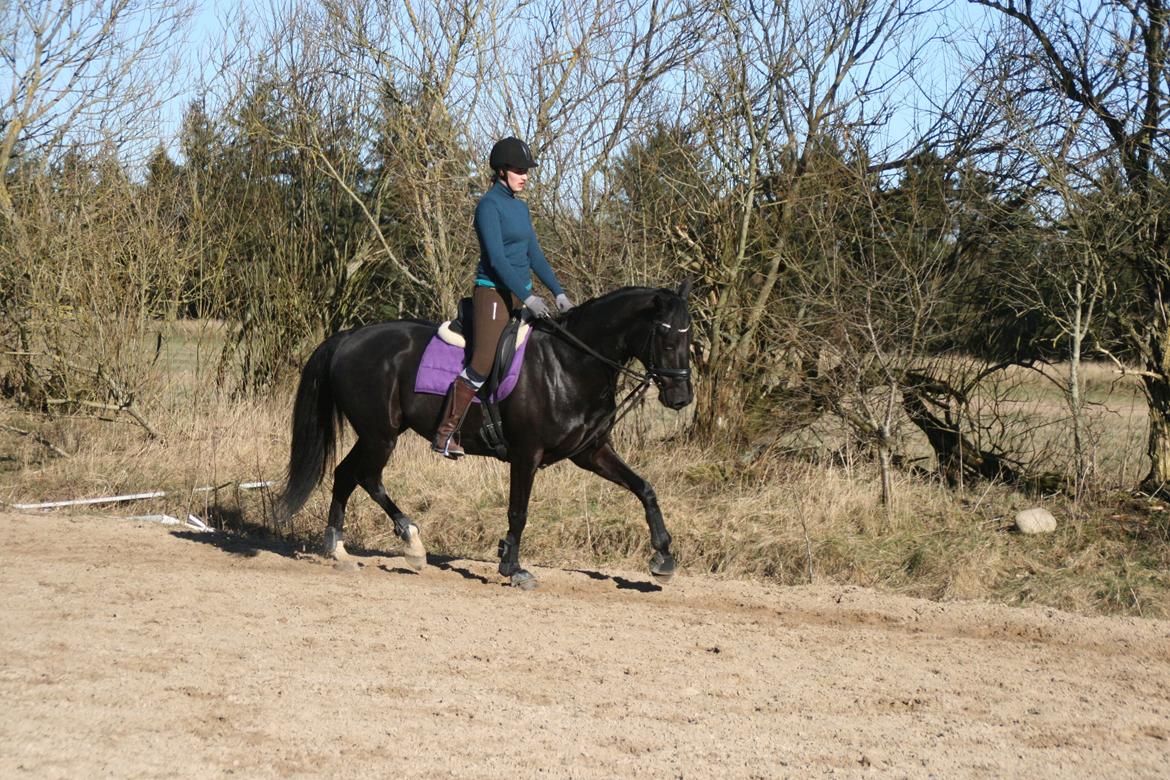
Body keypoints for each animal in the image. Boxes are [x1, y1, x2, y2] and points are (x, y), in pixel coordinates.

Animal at [273, 280, 692, 584]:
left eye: (689, 338)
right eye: (667, 337)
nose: (681, 398)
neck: (570, 362)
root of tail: (348, 337)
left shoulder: (590, 452)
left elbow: (644, 488)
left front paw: (663, 556)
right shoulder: (526, 453)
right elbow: (518, 511)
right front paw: (512, 567)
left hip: (374, 434)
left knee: (346, 474)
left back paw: (340, 550)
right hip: (381, 434)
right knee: (366, 476)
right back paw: (412, 544)